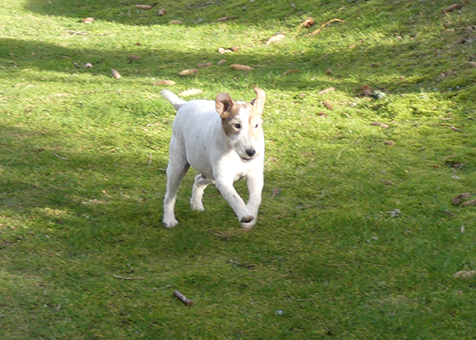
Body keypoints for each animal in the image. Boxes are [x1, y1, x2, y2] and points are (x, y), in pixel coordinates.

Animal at [160, 86, 264, 230]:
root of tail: (184, 104)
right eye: (236, 125)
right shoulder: (223, 179)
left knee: (198, 179)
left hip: (208, 171)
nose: (251, 152)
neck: (234, 153)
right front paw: (244, 214)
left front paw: (250, 217)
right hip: (178, 165)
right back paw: (169, 219)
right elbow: (235, 197)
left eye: (257, 125)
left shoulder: (255, 175)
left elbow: (256, 197)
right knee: (170, 195)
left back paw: (196, 205)